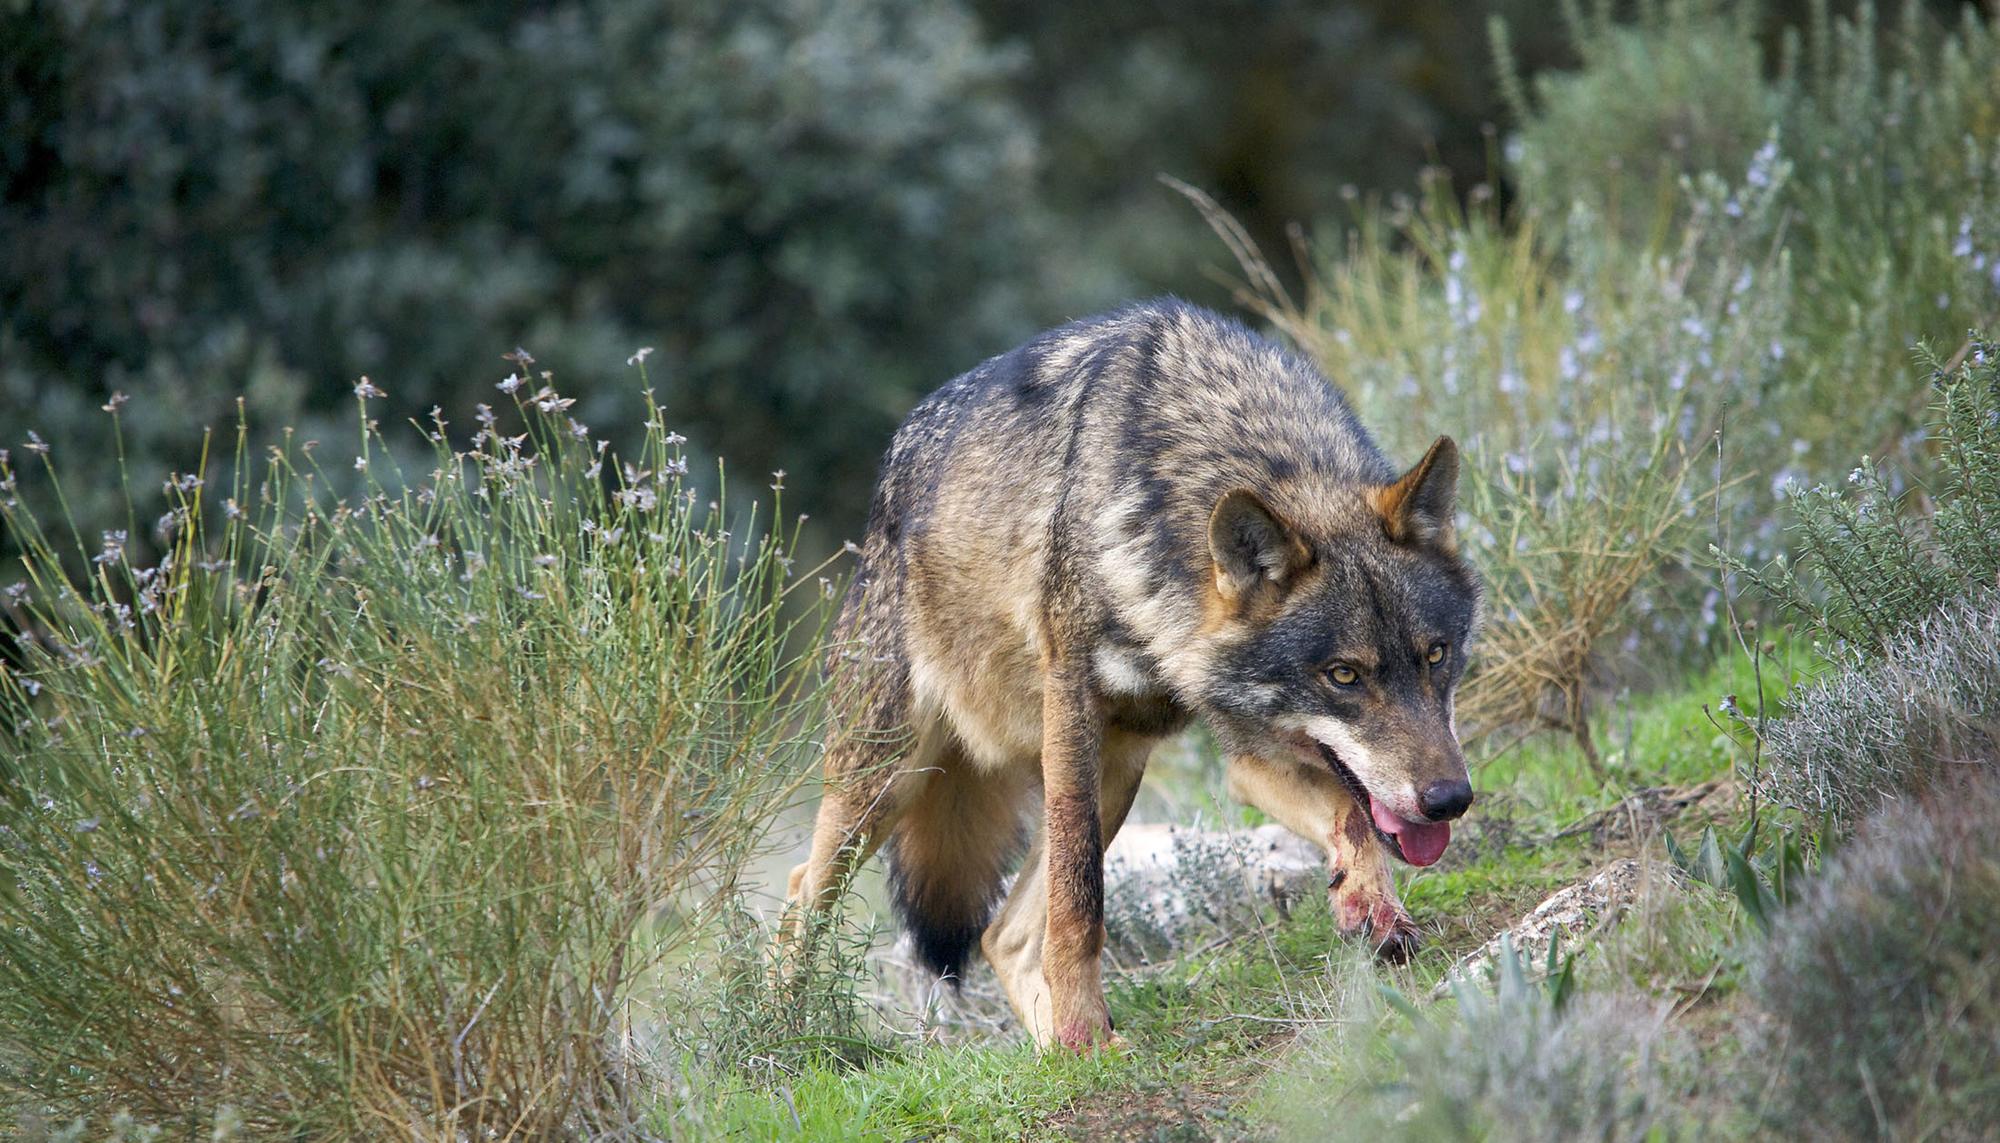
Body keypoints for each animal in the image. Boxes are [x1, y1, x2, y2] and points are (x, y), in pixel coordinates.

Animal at [781, 299, 1480, 1049]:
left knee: (1003, 935)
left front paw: (1371, 908)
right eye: (1344, 675)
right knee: (800, 896)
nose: (1450, 799)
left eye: (1436, 655)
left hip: (1115, 772)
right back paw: (784, 1033)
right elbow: (1080, 901)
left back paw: (1062, 1053)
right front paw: (1082, 1024)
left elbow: (1352, 816)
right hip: (891, 780)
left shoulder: (1250, 751)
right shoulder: (1073, 706)